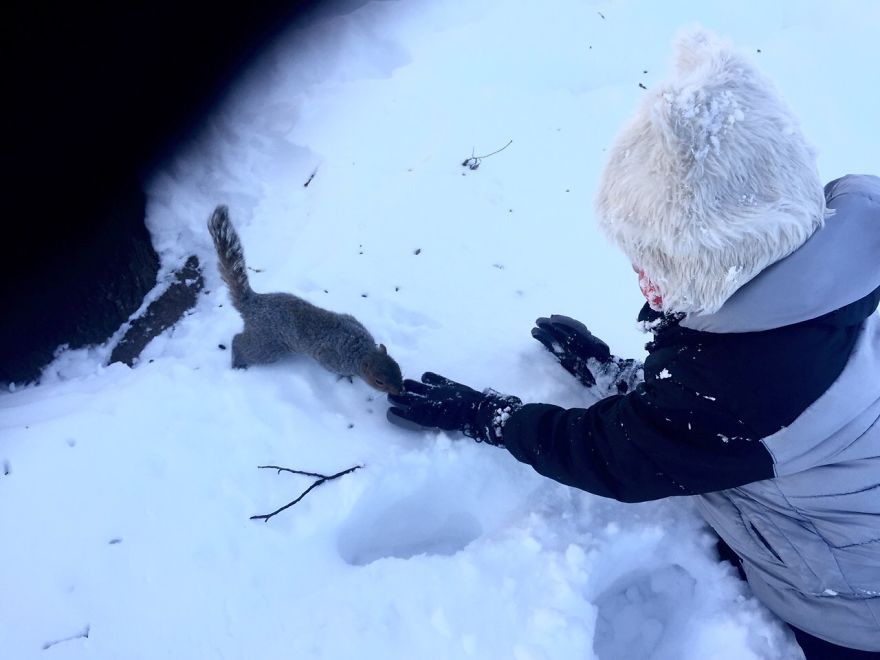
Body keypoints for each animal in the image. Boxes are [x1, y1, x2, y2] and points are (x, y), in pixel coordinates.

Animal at [207, 205, 403, 395]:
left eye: (398, 368)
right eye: (378, 381)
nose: (400, 390)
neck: (360, 349)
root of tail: (252, 304)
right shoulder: (330, 358)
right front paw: (346, 376)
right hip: (266, 345)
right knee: (240, 342)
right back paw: (238, 362)